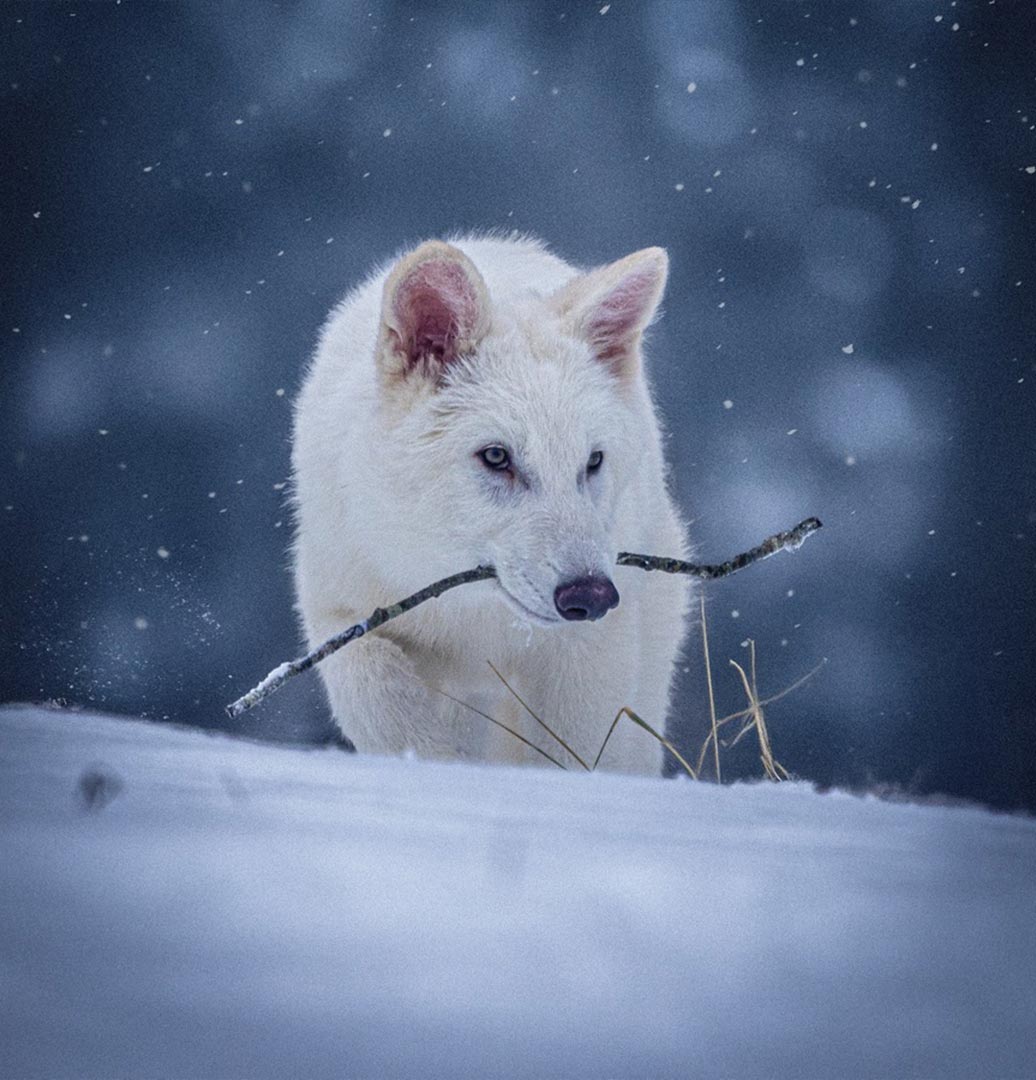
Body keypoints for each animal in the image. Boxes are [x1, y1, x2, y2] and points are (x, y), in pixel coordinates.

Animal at [292, 234, 690, 775]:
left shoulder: (589, 650)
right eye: (497, 456)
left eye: (592, 461)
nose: (591, 596)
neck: (474, 615)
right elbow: (383, 701)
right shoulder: (341, 612)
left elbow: (572, 753)